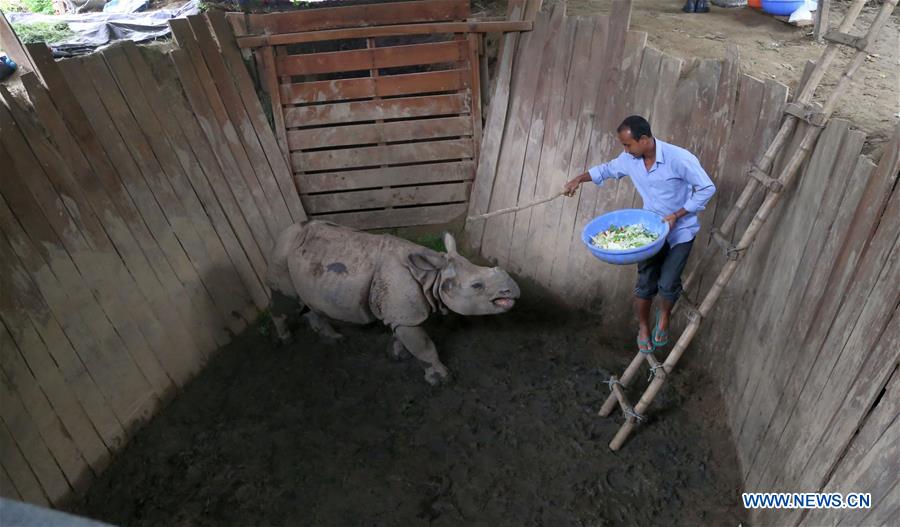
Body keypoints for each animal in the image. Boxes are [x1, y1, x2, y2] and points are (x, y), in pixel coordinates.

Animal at [265, 220, 521, 385]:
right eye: (477, 286)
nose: (514, 290)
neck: (432, 276)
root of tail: (282, 234)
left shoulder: (402, 313)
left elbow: (405, 336)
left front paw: (398, 355)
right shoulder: (406, 315)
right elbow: (425, 346)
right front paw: (443, 379)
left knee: (306, 300)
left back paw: (333, 339)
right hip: (280, 255)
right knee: (285, 300)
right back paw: (286, 340)